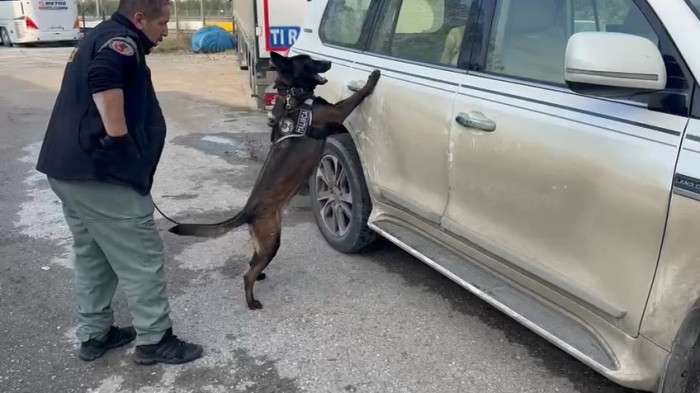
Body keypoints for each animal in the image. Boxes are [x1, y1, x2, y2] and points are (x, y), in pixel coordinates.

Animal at [170, 51, 380, 310]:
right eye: (310, 61)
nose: (329, 61)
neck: (295, 97)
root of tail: (247, 211)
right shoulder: (337, 112)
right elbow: (355, 97)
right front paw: (372, 79)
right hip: (272, 241)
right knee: (247, 274)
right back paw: (252, 301)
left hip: (264, 240)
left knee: (252, 262)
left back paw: (259, 275)